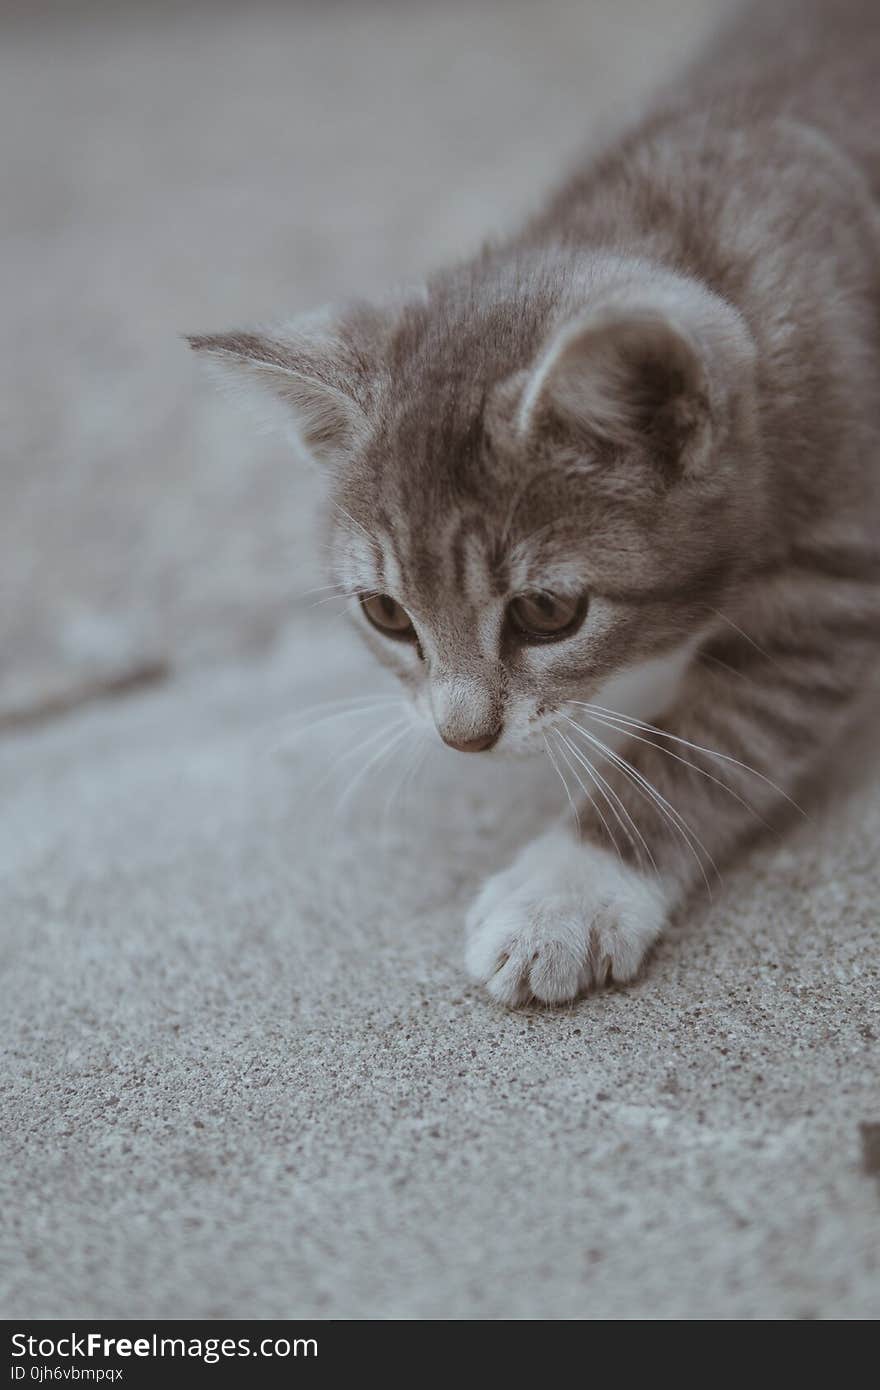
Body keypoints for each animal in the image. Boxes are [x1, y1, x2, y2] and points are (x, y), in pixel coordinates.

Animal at [190, 0, 878, 1006]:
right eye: (386, 613)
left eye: (549, 612)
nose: (462, 738)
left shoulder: (830, 581)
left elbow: (701, 745)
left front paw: (571, 892)